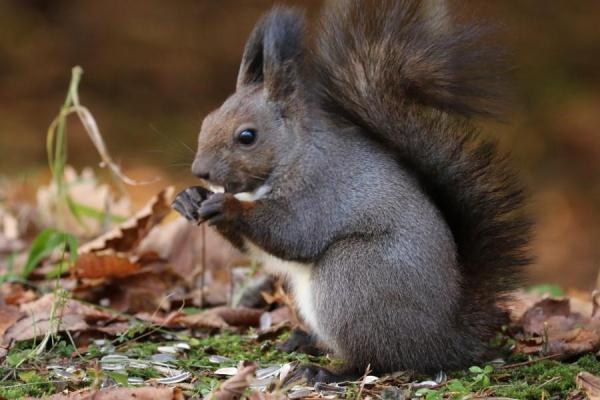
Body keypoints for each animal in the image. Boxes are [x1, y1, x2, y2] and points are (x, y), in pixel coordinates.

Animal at [172, 0, 528, 382]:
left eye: (247, 136)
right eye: (207, 121)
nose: (200, 171)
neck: (292, 156)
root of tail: (444, 340)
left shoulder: (320, 192)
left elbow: (292, 234)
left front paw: (228, 207)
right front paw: (190, 198)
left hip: (354, 278)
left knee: (373, 358)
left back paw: (327, 372)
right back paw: (303, 340)